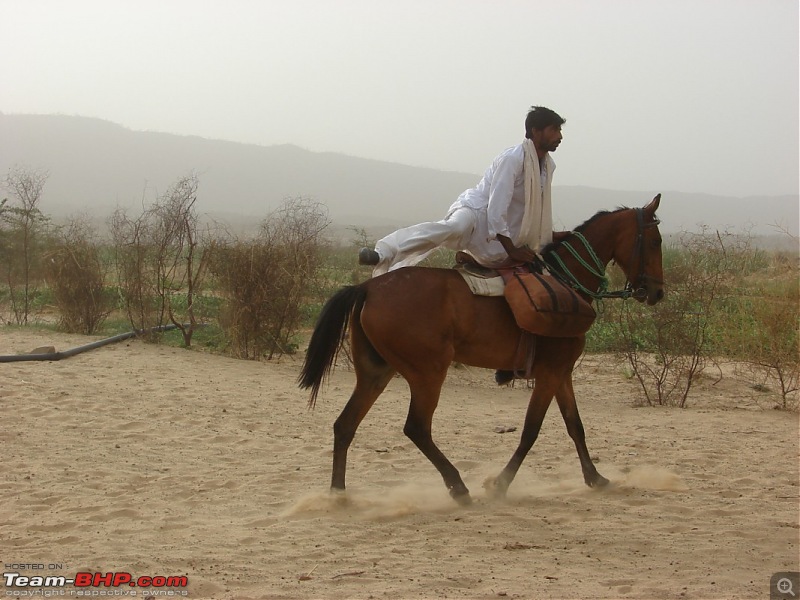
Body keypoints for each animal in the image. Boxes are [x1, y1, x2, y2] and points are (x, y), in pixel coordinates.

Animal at [298, 196, 664, 502]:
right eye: (656, 241)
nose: (657, 292)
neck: (565, 280)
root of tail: (367, 288)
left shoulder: (561, 372)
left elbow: (576, 426)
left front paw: (595, 478)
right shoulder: (549, 373)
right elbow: (531, 431)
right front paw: (499, 484)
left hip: (376, 372)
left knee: (345, 425)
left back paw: (338, 494)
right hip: (428, 372)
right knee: (416, 428)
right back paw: (457, 486)